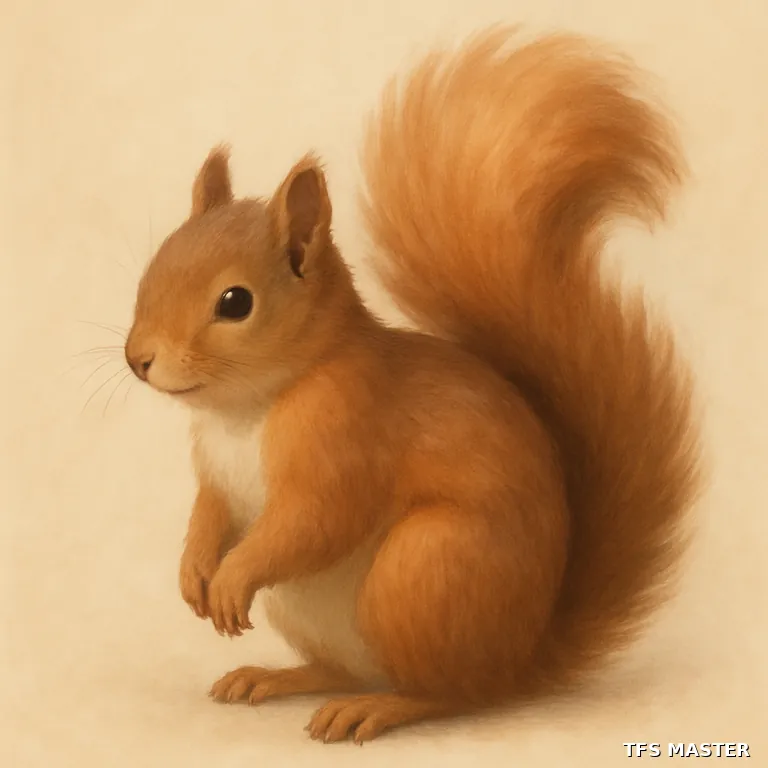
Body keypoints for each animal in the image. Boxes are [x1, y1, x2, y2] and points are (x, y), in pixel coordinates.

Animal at [125, 27, 701, 743]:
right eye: (153, 267)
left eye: (235, 302)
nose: (138, 359)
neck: (245, 408)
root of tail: (523, 659)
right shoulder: (215, 472)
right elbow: (211, 513)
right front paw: (195, 571)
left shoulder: (346, 431)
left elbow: (313, 521)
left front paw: (232, 578)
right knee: (342, 669)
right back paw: (277, 677)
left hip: (424, 569)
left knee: (449, 693)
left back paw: (379, 708)